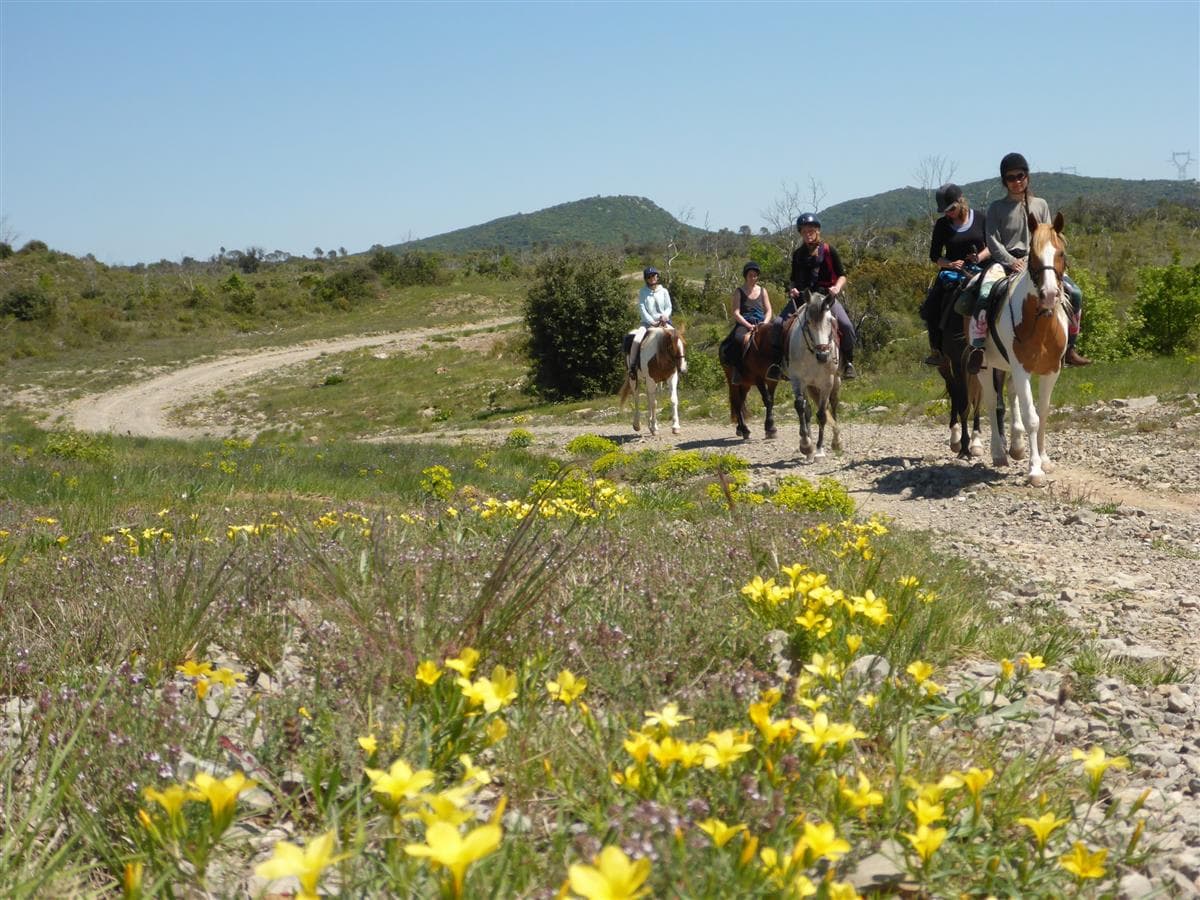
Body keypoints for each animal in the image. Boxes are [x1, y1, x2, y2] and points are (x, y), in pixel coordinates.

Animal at [785, 290, 842, 459]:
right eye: (808, 322)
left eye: (831, 321)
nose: (823, 356)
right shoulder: (798, 380)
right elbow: (800, 407)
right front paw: (806, 445)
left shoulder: (827, 382)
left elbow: (822, 414)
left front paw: (819, 449)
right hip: (809, 385)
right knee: (808, 409)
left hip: (836, 381)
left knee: (834, 404)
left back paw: (836, 440)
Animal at [976, 213, 1070, 486]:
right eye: (1033, 256)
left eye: (1061, 253)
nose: (1049, 294)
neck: (1040, 325)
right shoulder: (1021, 369)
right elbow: (1032, 418)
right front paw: (1035, 470)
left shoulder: (1051, 371)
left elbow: (1044, 413)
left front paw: (1045, 460)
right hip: (985, 367)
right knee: (990, 402)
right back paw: (998, 452)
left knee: (1010, 394)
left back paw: (1016, 446)